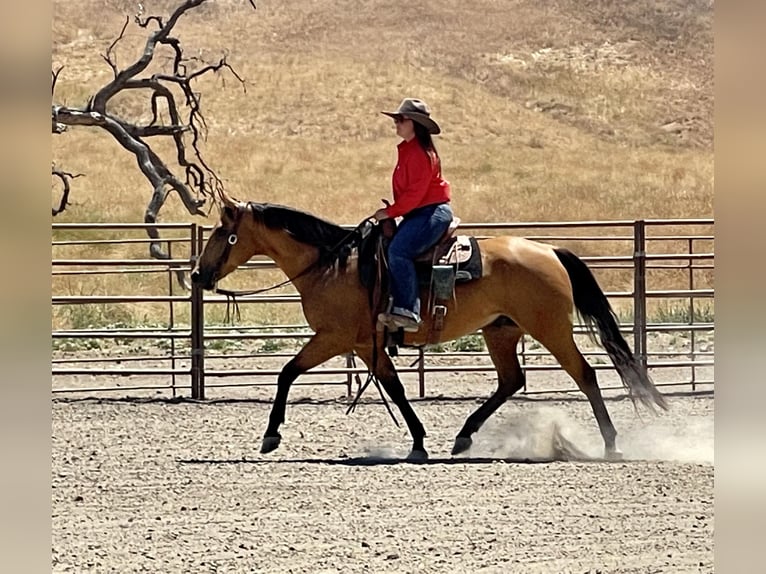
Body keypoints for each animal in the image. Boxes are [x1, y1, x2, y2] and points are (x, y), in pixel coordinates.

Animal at [190, 194, 664, 464]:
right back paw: (463, 437)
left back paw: (611, 445)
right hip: (502, 331)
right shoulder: (365, 345)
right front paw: (418, 441)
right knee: (511, 380)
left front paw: (271, 435)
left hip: (549, 329)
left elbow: (287, 372)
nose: (197, 276)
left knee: (585, 374)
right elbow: (396, 389)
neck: (331, 264)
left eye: (221, 234)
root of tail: (549, 250)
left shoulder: (335, 338)